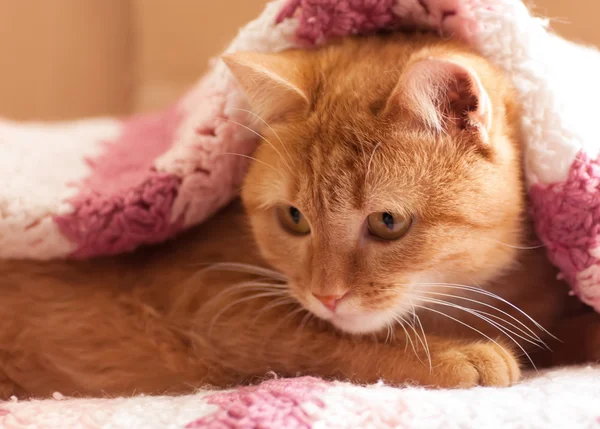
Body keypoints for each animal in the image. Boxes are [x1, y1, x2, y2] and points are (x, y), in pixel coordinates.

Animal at [0, 32, 592, 398]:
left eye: (388, 223)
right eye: (293, 218)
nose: (327, 295)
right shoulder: (208, 302)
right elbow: (327, 342)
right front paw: (455, 357)